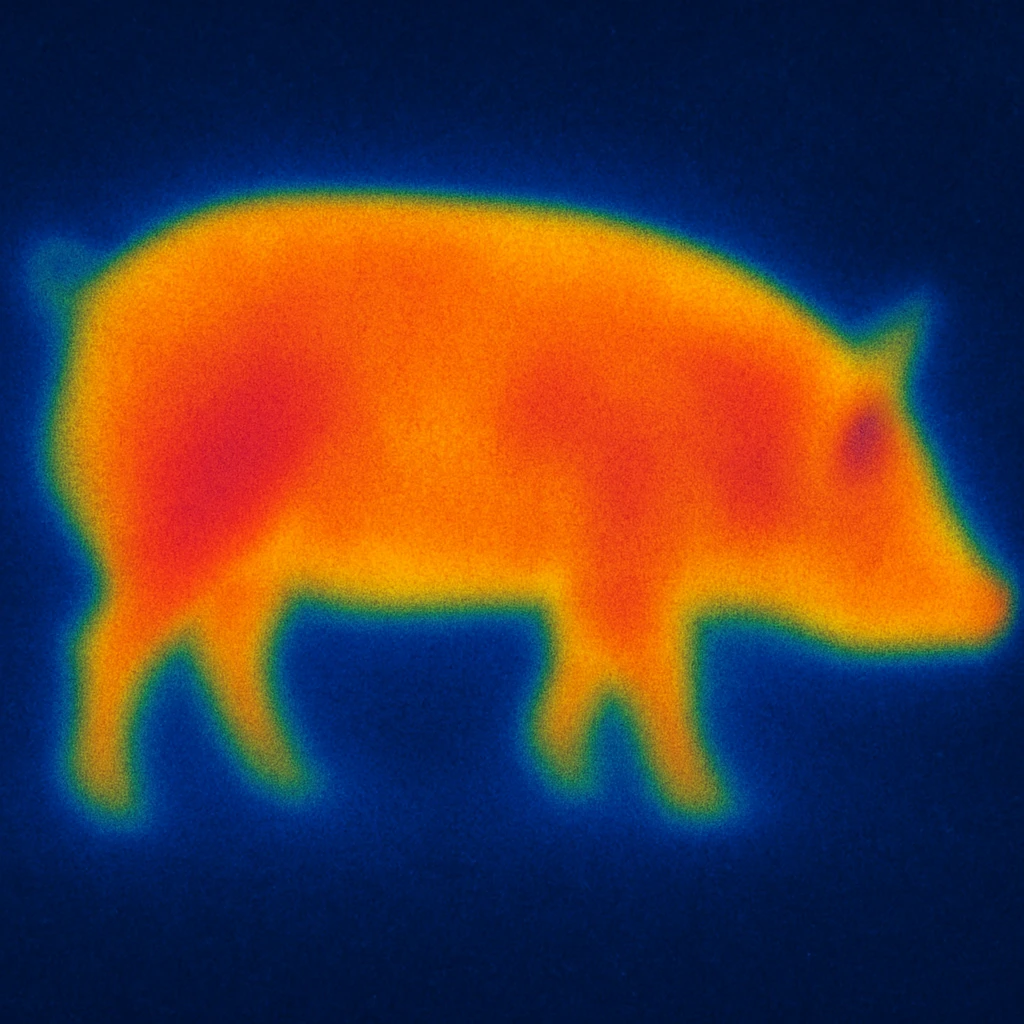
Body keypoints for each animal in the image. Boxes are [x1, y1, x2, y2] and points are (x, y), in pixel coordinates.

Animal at [47, 194, 1012, 816]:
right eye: (892, 495)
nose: (999, 599)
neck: (737, 446)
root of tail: (96, 299)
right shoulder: (632, 561)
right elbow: (658, 681)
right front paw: (707, 803)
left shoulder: (598, 578)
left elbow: (582, 669)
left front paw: (566, 781)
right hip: (182, 527)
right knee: (110, 646)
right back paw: (115, 804)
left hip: (252, 557)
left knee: (227, 647)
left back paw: (297, 788)